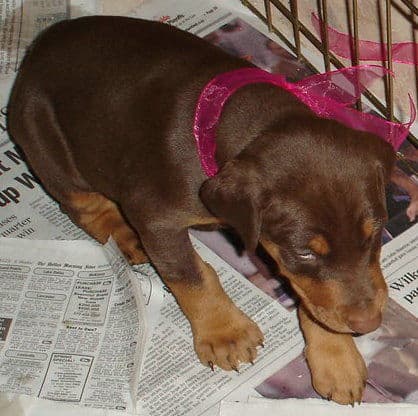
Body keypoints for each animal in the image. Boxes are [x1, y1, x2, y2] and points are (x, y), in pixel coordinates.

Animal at [8, 15, 396, 404]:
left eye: (374, 234)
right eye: (304, 252)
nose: (369, 324)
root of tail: (41, 44)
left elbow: (314, 298)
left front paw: (337, 357)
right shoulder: (156, 216)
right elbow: (190, 275)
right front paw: (225, 333)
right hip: (46, 144)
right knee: (83, 206)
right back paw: (124, 235)